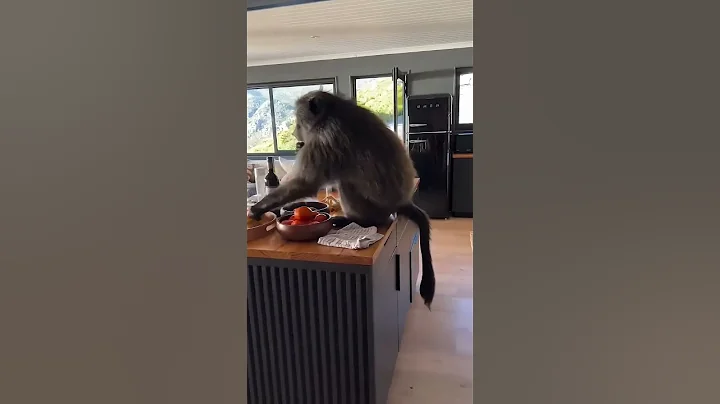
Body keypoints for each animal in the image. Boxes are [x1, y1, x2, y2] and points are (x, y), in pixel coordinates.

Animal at [249, 90, 436, 310]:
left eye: (298, 121)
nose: (295, 132)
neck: (334, 111)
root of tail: (401, 202)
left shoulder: (325, 137)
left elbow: (305, 183)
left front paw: (258, 209)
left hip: (374, 207)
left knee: (346, 184)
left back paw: (359, 220)